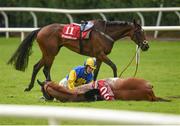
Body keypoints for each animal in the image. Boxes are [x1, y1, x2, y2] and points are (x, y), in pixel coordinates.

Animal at [7, 19, 149, 91]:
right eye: (139, 32)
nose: (146, 46)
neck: (105, 33)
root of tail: (41, 29)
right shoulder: (101, 54)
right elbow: (114, 66)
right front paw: (116, 81)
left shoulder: (99, 56)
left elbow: (95, 72)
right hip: (50, 53)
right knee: (46, 68)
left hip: (49, 52)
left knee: (37, 66)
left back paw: (30, 87)